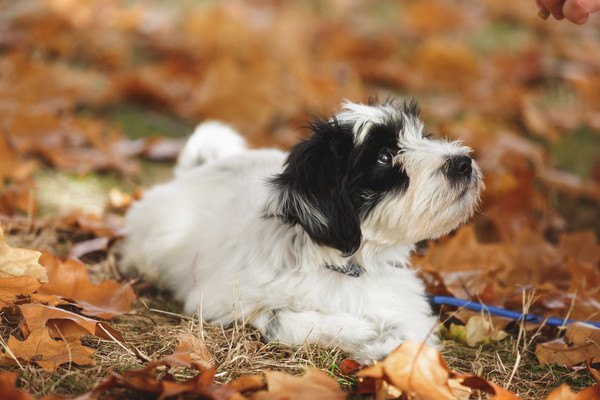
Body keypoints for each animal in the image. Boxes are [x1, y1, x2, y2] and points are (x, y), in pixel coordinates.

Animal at [120, 100, 482, 362]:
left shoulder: (402, 299)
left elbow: (407, 326)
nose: (463, 162)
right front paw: (359, 330)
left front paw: (387, 350)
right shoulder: (221, 302)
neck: (340, 264)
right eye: (384, 156)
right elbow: (285, 320)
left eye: (422, 136)